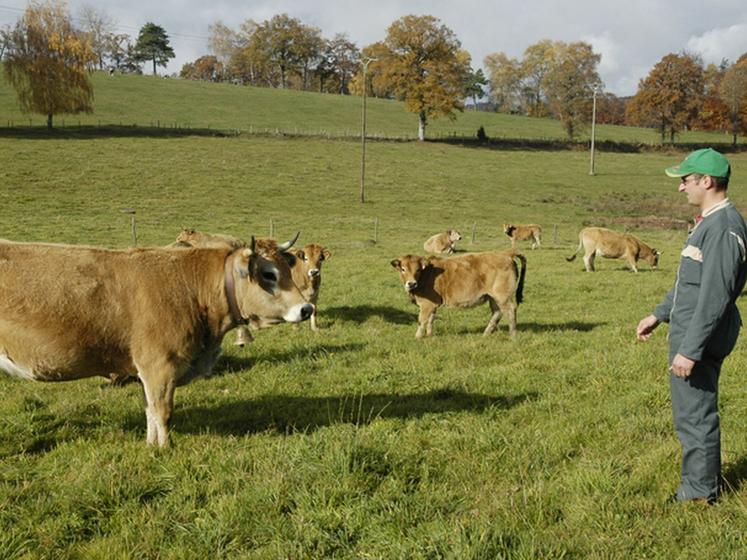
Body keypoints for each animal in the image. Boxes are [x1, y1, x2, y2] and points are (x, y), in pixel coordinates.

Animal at [0, 235, 312, 446]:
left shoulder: (146, 371)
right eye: (269, 274)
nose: (306, 308)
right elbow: (162, 411)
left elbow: (150, 409)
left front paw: (151, 446)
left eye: (288, 269)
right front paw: (164, 448)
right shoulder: (159, 365)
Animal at [392, 252, 524, 340]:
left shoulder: (426, 305)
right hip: (494, 298)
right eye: (403, 269)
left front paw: (418, 337)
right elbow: (431, 319)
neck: (427, 274)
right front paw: (429, 335)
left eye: (418, 269)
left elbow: (422, 320)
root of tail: (506, 254)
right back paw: (486, 334)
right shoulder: (433, 304)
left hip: (502, 296)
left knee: (510, 310)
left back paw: (513, 335)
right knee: (497, 312)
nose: (411, 283)